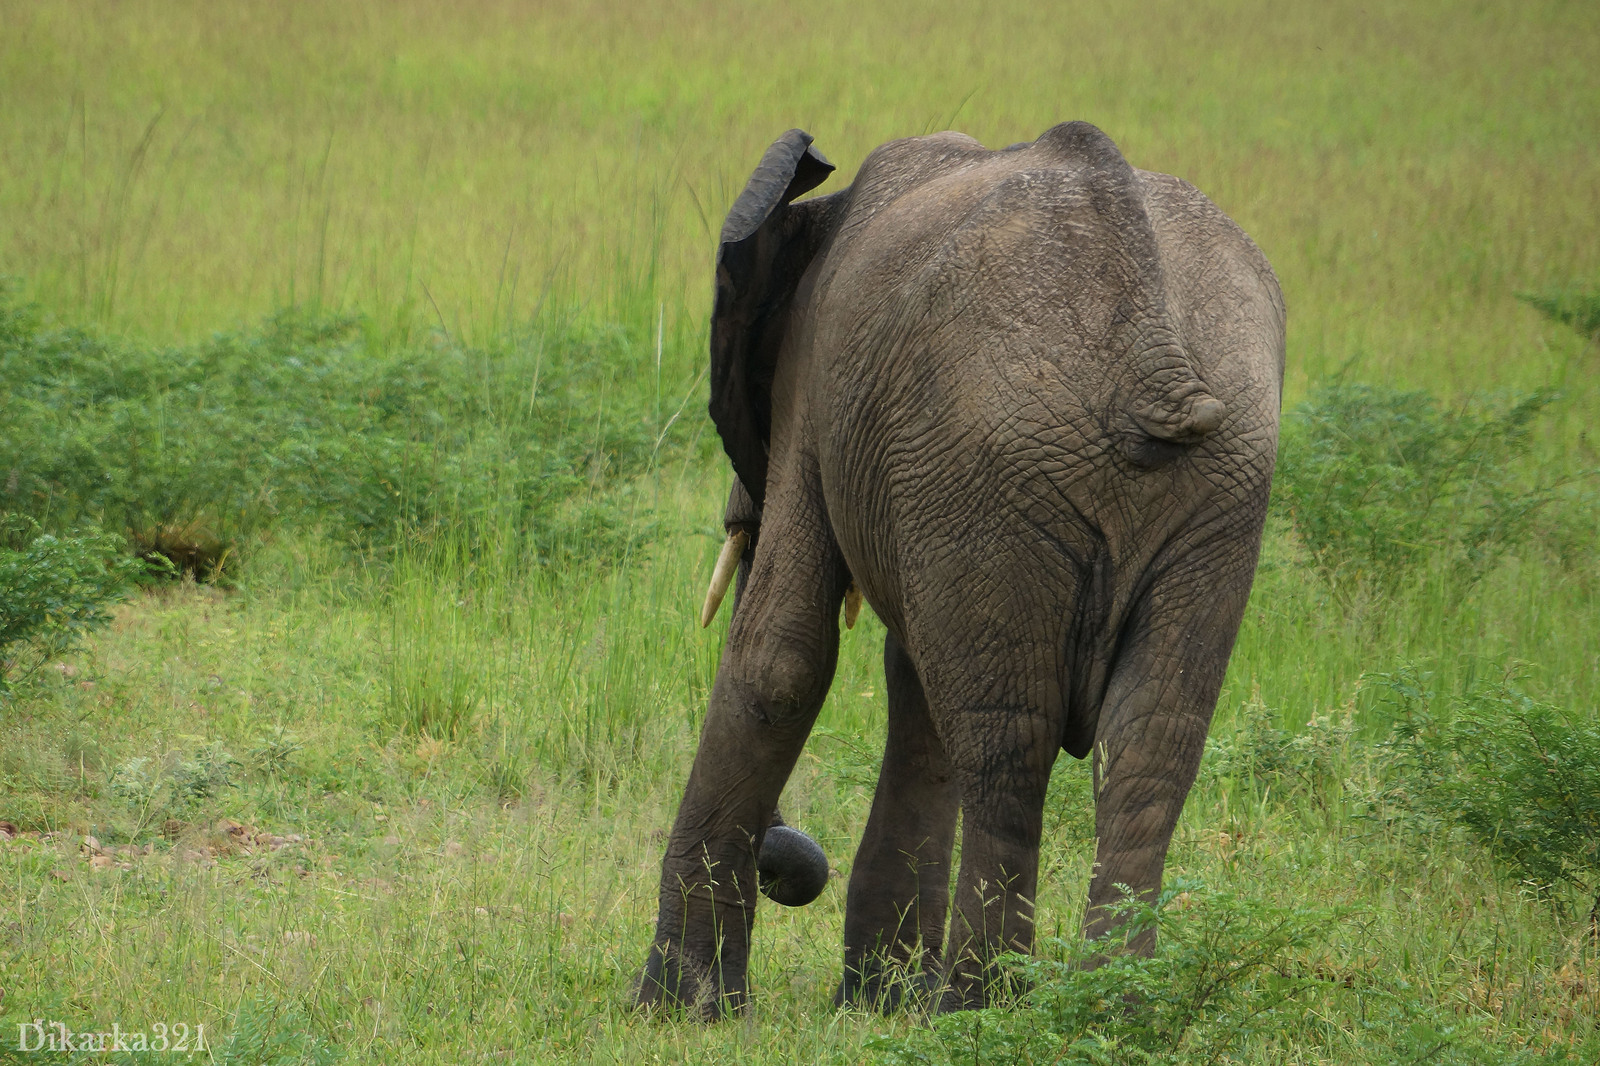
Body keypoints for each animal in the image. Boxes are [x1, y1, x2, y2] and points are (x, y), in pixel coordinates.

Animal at [636, 120, 1286, 1017]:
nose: (789, 864)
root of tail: (1146, 342)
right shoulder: (923, 475)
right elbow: (912, 683)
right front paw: (877, 1001)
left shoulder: (816, 389)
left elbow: (780, 661)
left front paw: (678, 1009)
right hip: (1211, 486)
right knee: (1150, 747)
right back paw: (1108, 1010)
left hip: (998, 457)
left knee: (1007, 743)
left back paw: (976, 1008)